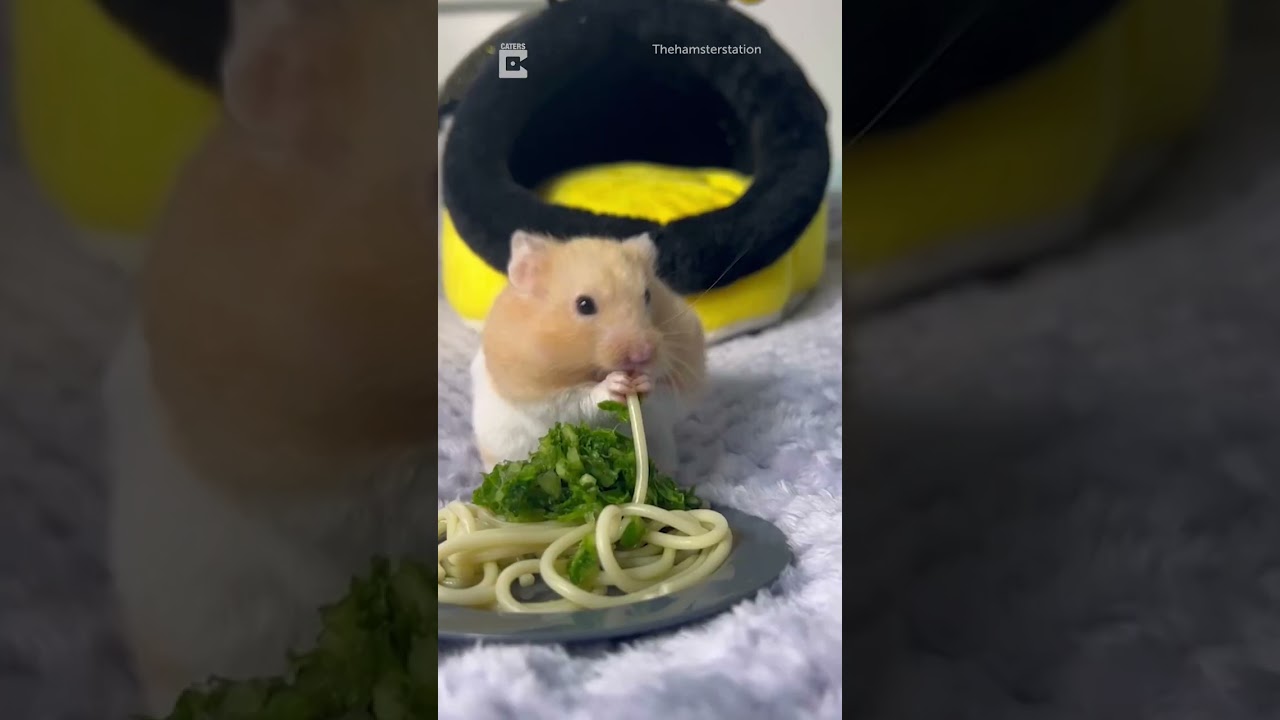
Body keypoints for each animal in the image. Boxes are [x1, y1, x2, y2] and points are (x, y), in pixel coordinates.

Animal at [471, 231, 707, 475]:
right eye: (584, 305)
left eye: (648, 295)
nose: (642, 355)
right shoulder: (540, 396)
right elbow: (577, 400)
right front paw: (615, 384)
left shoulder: (682, 386)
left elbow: (663, 397)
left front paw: (644, 381)